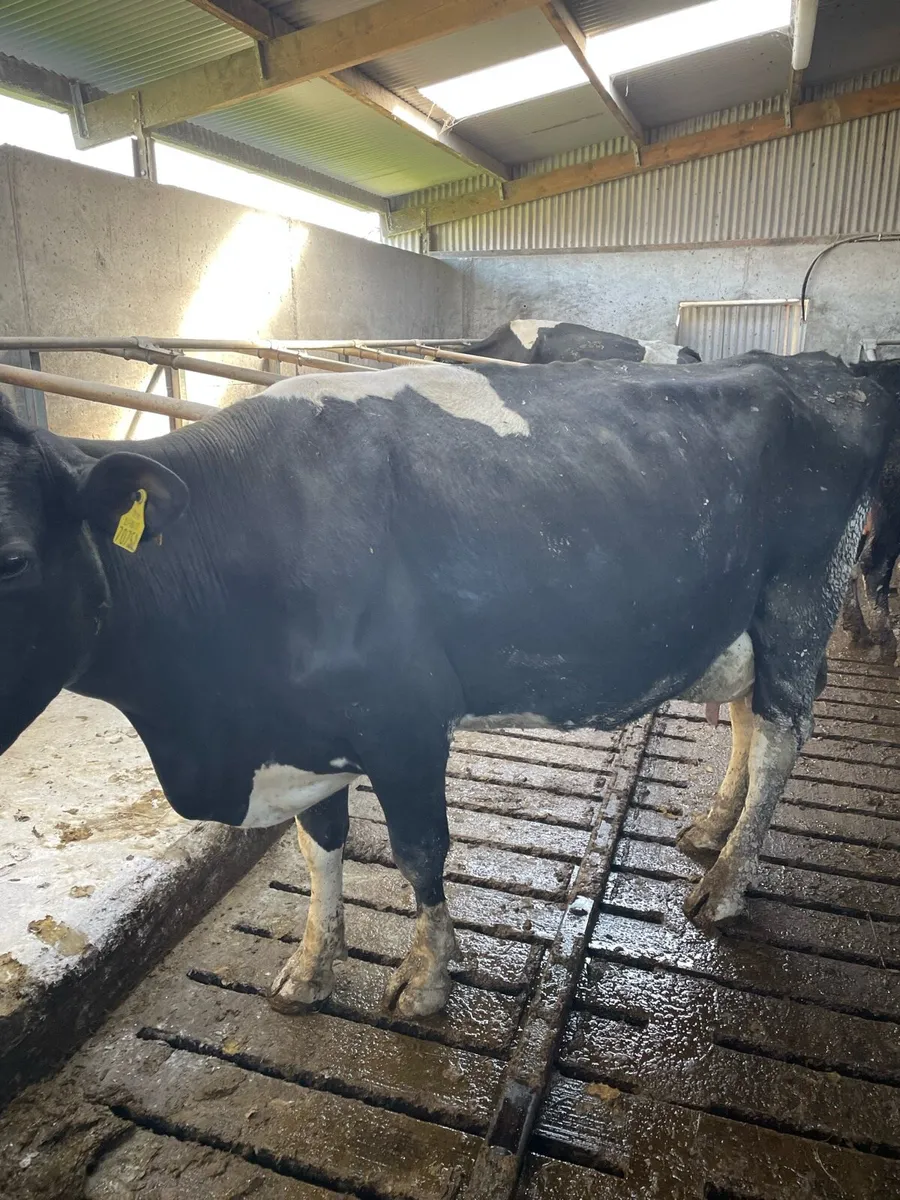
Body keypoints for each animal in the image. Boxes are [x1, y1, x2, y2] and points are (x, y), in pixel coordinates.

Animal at [0, 350, 890, 1022]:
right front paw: (311, 968)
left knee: (780, 735)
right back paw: (710, 829)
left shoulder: (402, 721)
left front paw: (427, 979)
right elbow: (320, 847)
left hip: (798, 601)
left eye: (12, 558)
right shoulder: (309, 730)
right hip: (737, 617)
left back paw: (725, 885)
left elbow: (419, 849)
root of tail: (814, 366)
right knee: (743, 715)